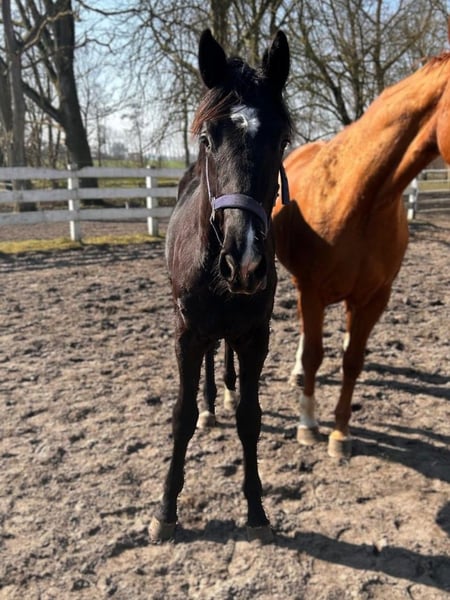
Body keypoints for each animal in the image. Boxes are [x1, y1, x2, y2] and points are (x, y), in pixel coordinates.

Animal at [149, 28, 292, 543]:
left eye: (282, 138)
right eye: (209, 137)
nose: (244, 261)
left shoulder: (256, 335)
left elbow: (250, 419)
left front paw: (256, 510)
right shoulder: (187, 333)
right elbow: (182, 417)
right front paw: (166, 511)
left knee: (225, 353)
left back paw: (226, 392)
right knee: (212, 358)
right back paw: (214, 401)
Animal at [272, 51, 450, 459]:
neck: (363, 198)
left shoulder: (374, 297)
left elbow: (352, 361)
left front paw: (340, 434)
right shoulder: (311, 289)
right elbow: (314, 354)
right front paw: (308, 424)